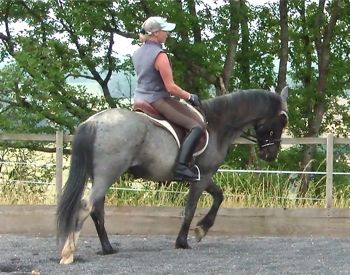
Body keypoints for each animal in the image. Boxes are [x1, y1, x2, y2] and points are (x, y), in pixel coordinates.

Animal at [56, 88, 288, 266]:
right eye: (281, 122)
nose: (270, 154)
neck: (218, 124)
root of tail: (94, 122)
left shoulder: (201, 175)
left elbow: (218, 196)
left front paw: (202, 229)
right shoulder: (204, 175)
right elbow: (190, 208)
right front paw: (184, 241)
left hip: (99, 176)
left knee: (97, 210)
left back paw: (107, 248)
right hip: (108, 174)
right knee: (86, 205)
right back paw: (68, 254)